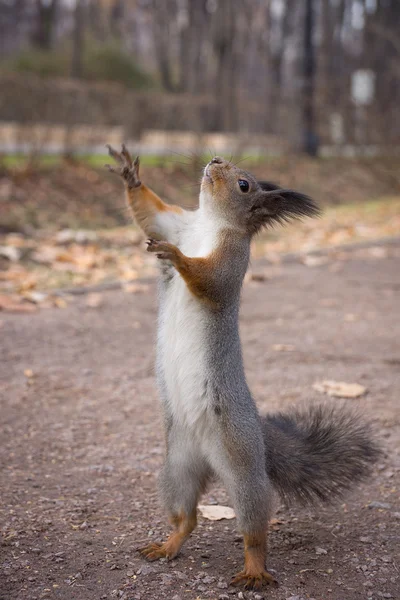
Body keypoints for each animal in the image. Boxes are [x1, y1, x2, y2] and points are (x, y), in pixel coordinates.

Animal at [106, 146, 382, 592]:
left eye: (244, 185)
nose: (215, 160)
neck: (209, 222)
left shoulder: (231, 260)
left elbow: (208, 278)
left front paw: (177, 258)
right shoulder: (176, 224)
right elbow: (151, 214)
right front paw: (130, 175)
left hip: (241, 464)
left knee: (254, 527)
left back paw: (254, 569)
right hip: (177, 465)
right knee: (188, 518)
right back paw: (168, 544)